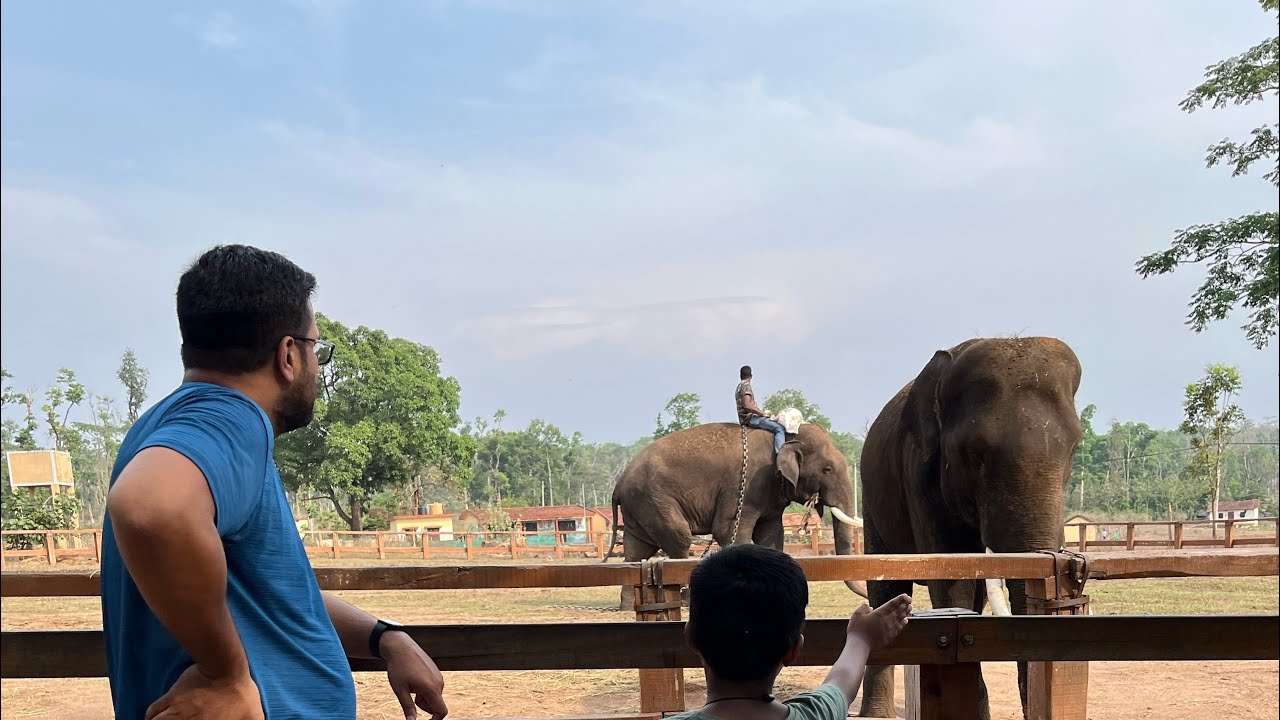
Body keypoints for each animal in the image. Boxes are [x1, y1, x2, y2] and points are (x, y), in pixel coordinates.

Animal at [606, 421, 867, 598]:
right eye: (827, 470)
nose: (866, 597)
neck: (783, 438)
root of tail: (619, 484)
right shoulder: (746, 485)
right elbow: (730, 531)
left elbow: (771, 535)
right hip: (655, 500)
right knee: (679, 539)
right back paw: (686, 597)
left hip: (640, 508)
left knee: (636, 550)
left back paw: (627, 603)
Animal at [857, 337, 1082, 720]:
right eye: (975, 454)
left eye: (1074, 448)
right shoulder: (920, 475)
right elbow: (952, 582)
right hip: (872, 501)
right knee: (885, 588)